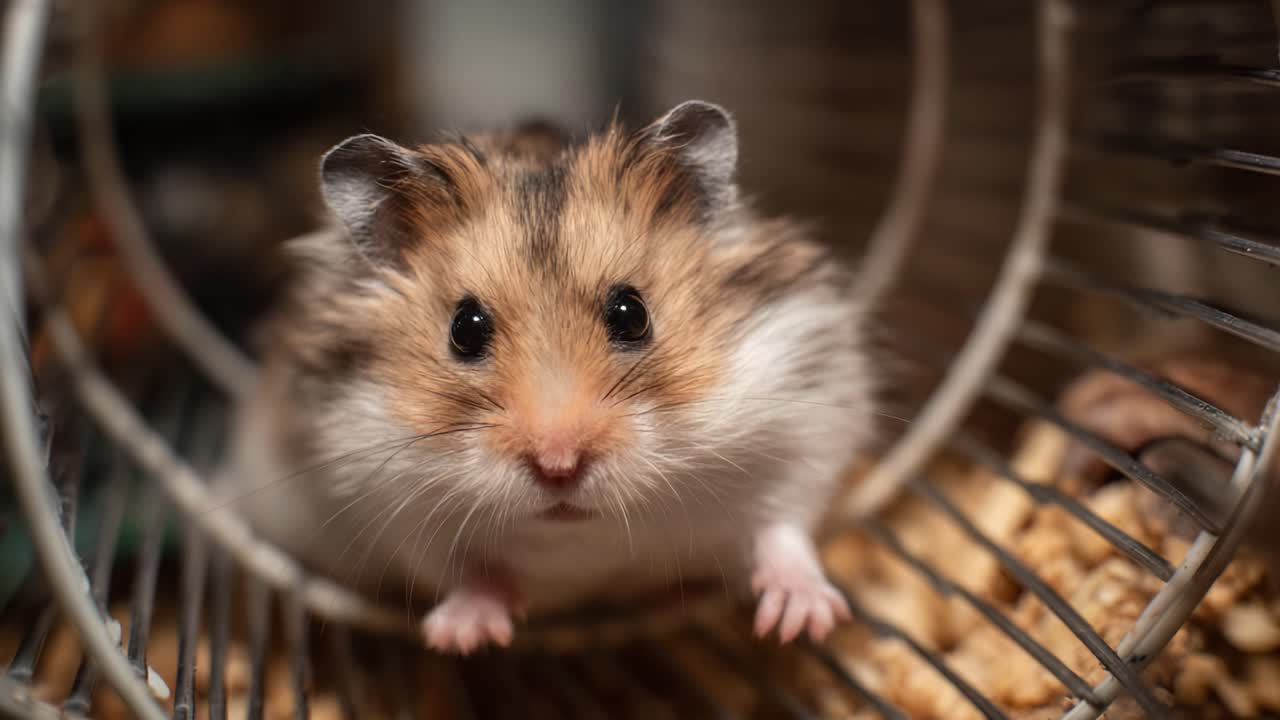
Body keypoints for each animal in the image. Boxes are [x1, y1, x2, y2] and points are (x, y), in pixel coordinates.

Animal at [218, 101, 875, 654]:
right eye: (464, 329)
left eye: (631, 313)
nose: (559, 466)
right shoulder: (379, 493)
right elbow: (456, 568)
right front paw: (462, 636)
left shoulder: (802, 418)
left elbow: (784, 528)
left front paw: (803, 621)